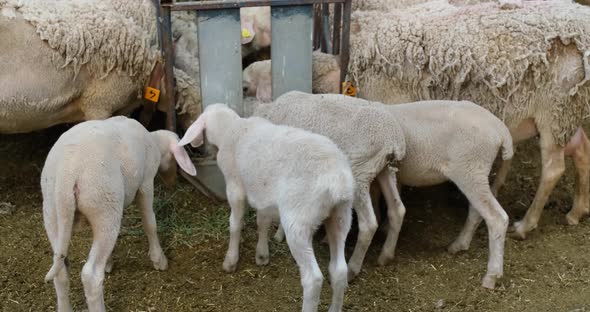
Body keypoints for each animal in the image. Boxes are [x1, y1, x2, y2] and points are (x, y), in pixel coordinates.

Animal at [42, 116, 199, 312]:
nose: (172, 182)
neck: (154, 142)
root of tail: (68, 174)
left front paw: (109, 262)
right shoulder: (146, 183)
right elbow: (150, 223)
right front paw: (159, 260)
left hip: (52, 211)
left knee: (61, 270)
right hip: (104, 206)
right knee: (91, 275)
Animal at [178, 104, 356, 312]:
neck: (232, 128)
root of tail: (337, 182)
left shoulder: (235, 187)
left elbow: (235, 224)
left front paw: (230, 260)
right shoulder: (263, 196)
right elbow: (262, 222)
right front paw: (262, 255)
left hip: (299, 221)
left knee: (313, 279)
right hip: (341, 216)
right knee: (339, 271)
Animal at [252, 90, 410, 280]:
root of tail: (393, 141)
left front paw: (279, 234)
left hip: (360, 171)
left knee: (369, 224)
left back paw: (352, 268)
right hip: (385, 170)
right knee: (397, 210)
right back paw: (386, 255)